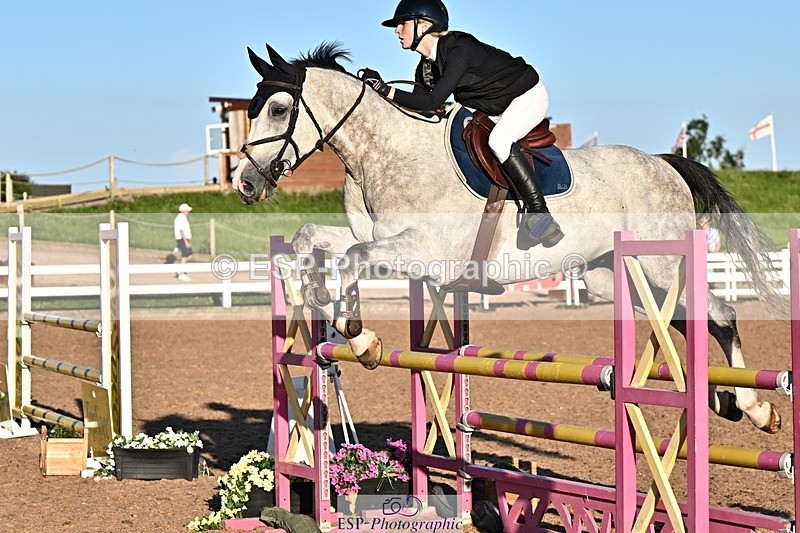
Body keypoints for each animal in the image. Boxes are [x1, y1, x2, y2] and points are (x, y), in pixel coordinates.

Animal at [233, 43, 784, 434]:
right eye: (251, 110)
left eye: (278, 109)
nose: (245, 182)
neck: (382, 155)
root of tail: (665, 164)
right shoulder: (378, 238)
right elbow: (313, 237)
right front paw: (308, 291)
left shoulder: (426, 253)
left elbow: (352, 257)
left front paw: (360, 336)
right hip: (612, 275)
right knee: (681, 320)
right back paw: (726, 400)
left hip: (661, 262)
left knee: (720, 314)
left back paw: (755, 406)